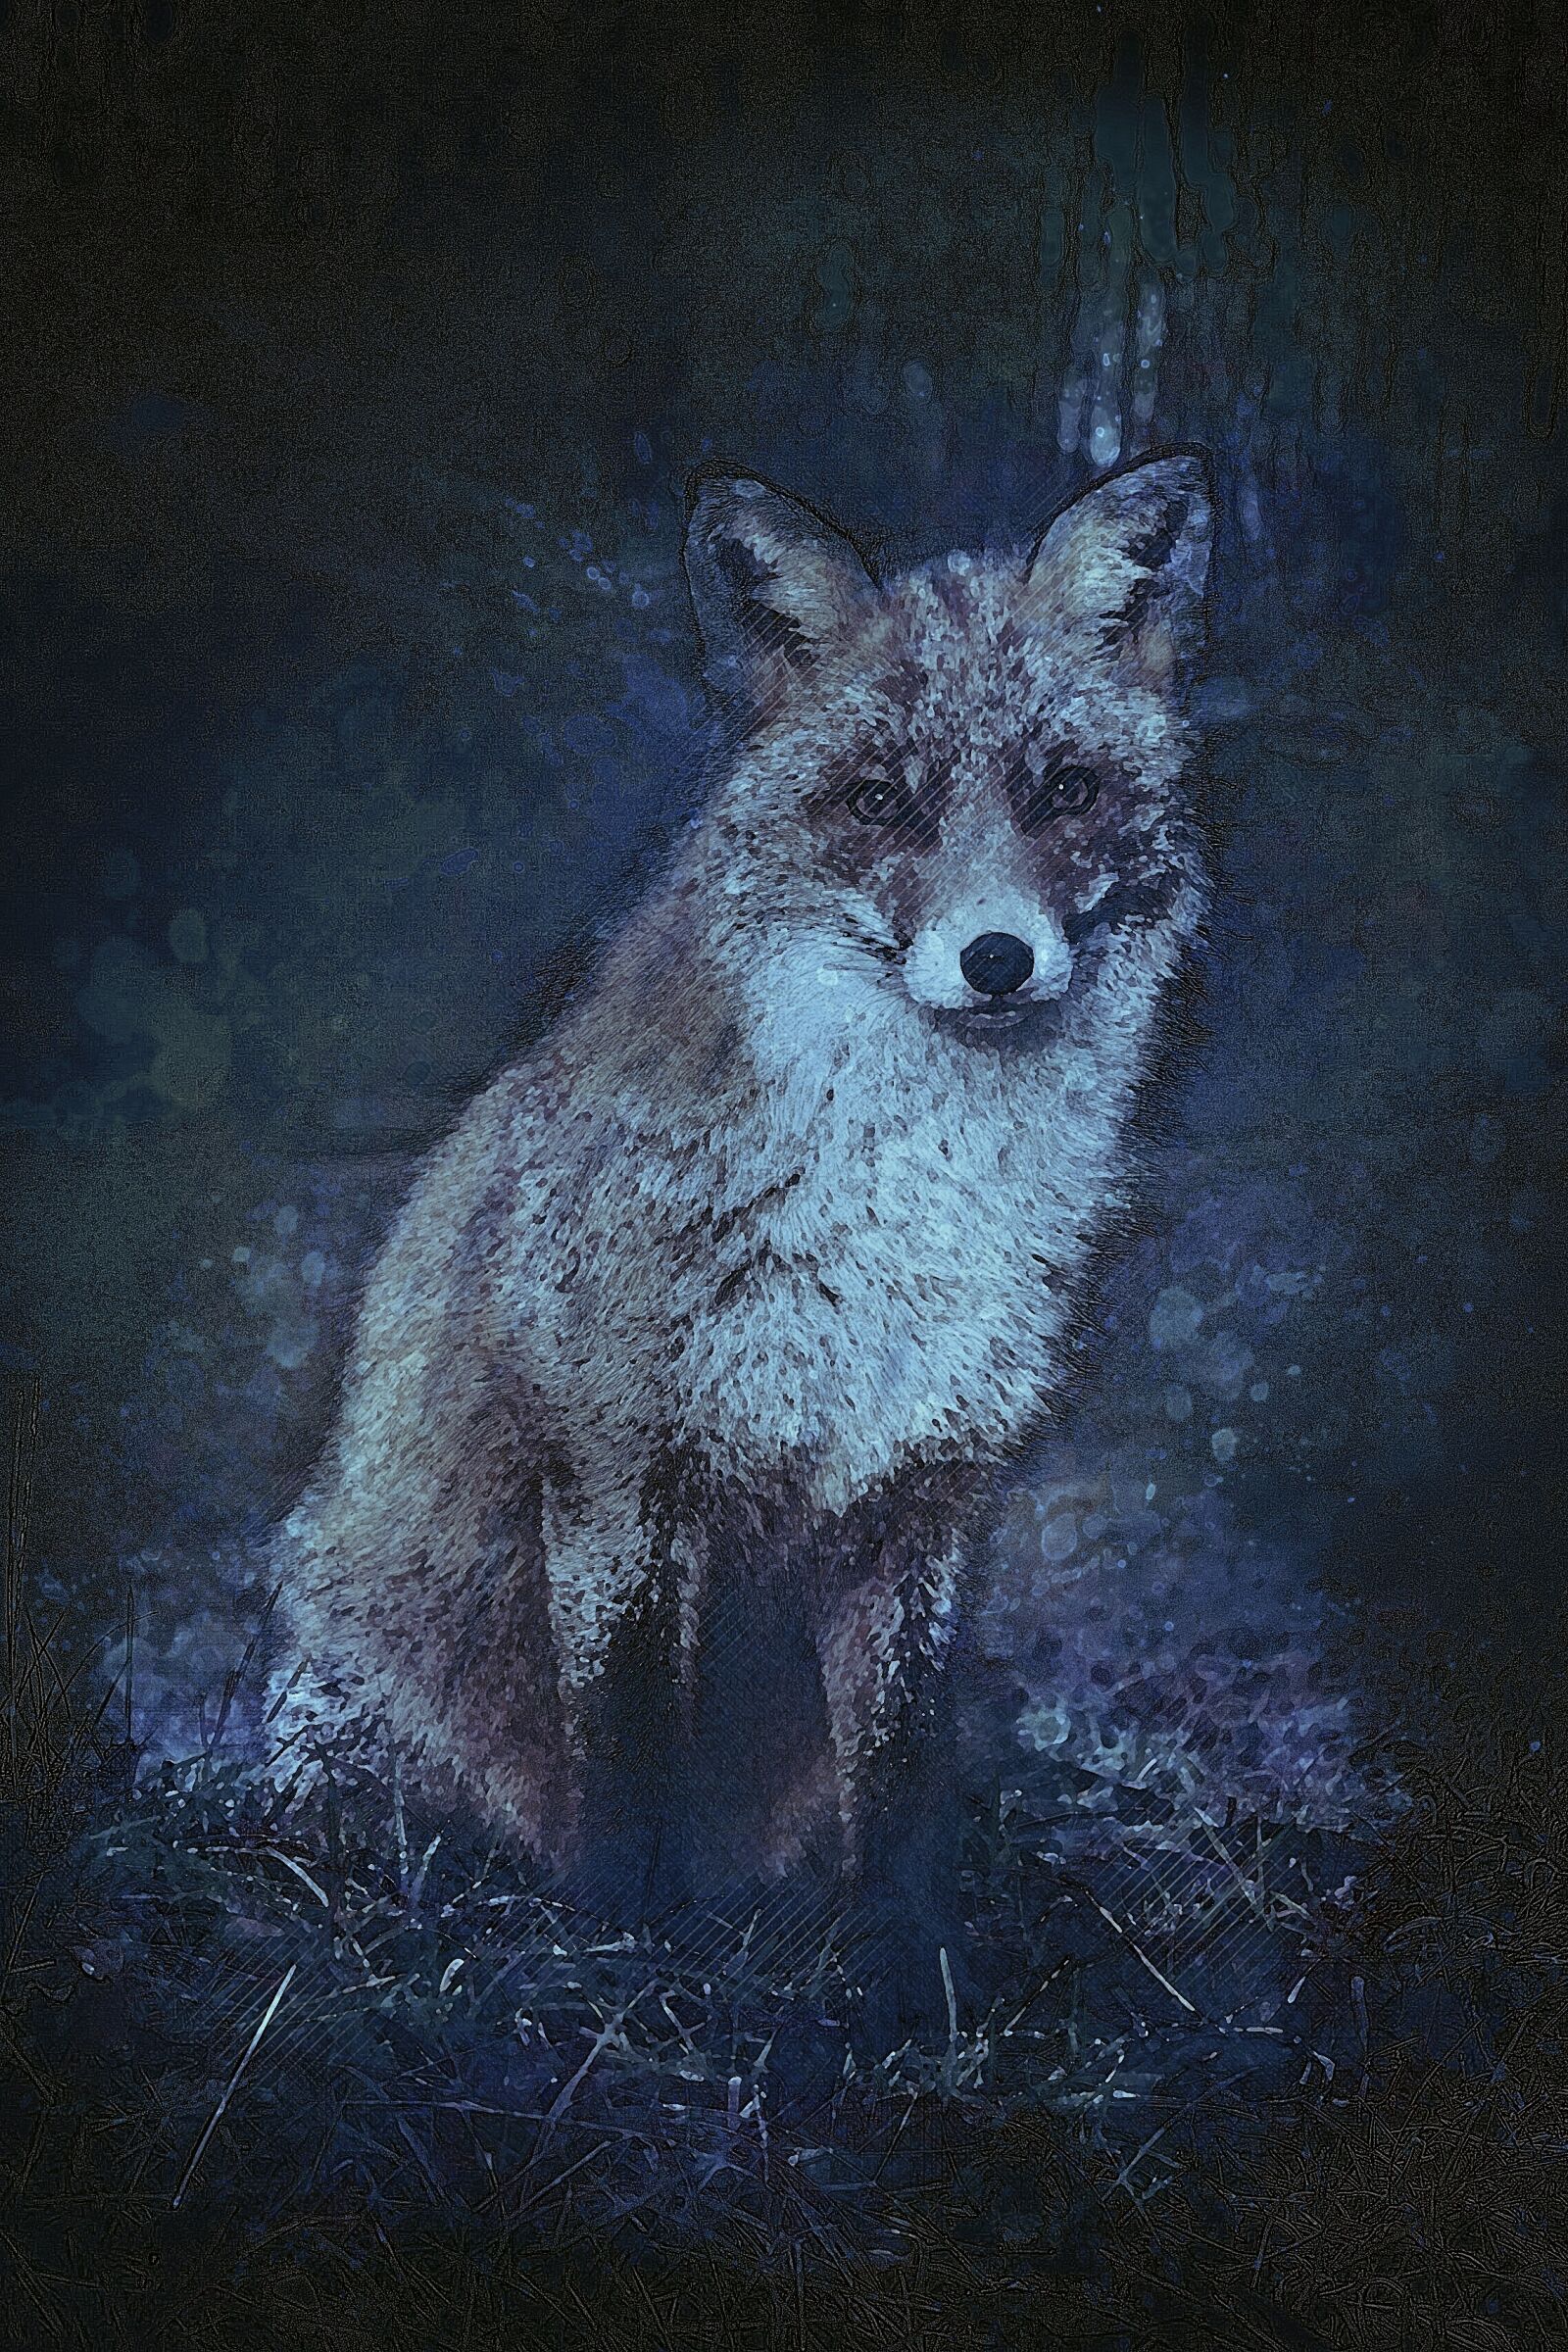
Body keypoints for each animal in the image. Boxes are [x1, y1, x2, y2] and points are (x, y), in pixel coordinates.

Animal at [266, 449, 1216, 2020]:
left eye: (1064, 790)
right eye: (880, 802)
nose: (997, 959)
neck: (903, 1207)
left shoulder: (920, 1494)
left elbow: (899, 1778)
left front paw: (909, 1977)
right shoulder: (619, 1469)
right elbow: (629, 1749)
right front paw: (621, 1952)